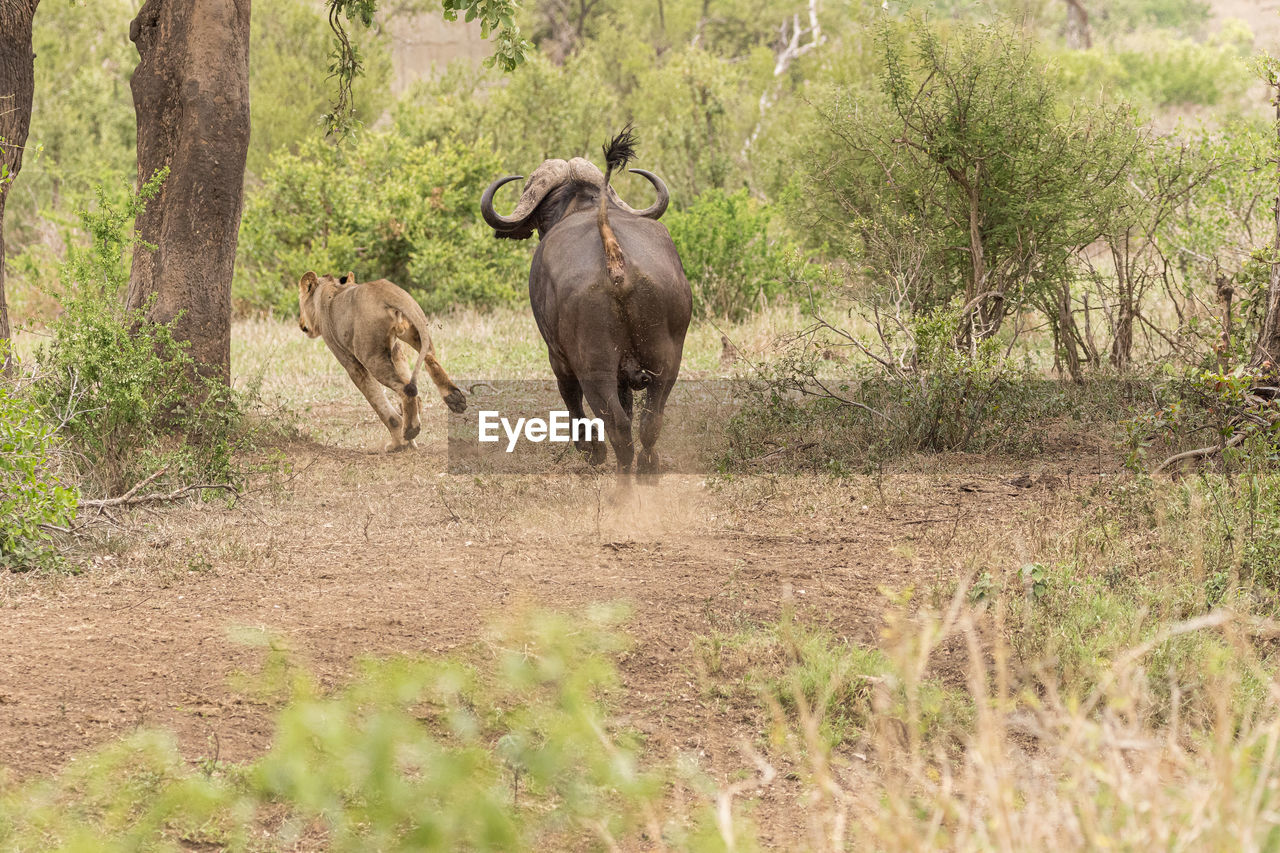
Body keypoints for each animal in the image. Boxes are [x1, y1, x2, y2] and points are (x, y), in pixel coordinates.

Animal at [481, 130, 696, 481]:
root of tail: (614, 257)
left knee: (618, 426)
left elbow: (572, 401)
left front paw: (590, 450)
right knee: (650, 421)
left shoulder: (558, 358)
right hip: (667, 361)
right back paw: (648, 466)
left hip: (594, 369)